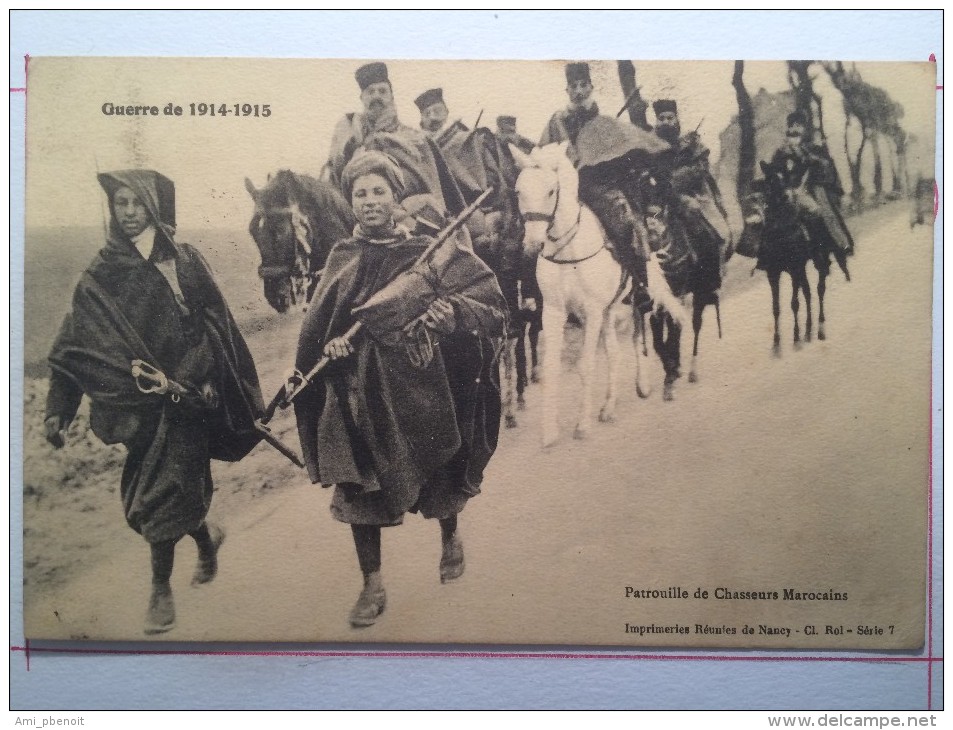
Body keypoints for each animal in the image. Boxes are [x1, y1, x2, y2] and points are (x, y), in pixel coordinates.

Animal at [512, 143, 656, 446]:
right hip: (608, 311)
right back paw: (608, 407)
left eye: (551, 191)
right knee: (614, 353)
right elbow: (552, 367)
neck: (569, 251)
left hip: (630, 302)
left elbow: (586, 365)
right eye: (519, 191)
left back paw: (643, 384)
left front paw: (581, 425)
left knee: (638, 335)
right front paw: (549, 431)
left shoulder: (590, 312)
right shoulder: (554, 312)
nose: (532, 245)